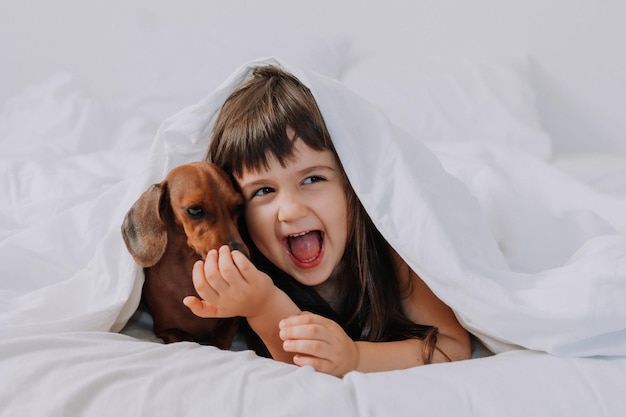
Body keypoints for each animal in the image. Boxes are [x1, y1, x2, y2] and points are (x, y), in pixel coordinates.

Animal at [120, 161, 247, 346]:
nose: (242, 257)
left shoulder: (233, 320)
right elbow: (186, 339)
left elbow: (220, 339)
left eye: (238, 206)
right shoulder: (166, 330)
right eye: (194, 210)